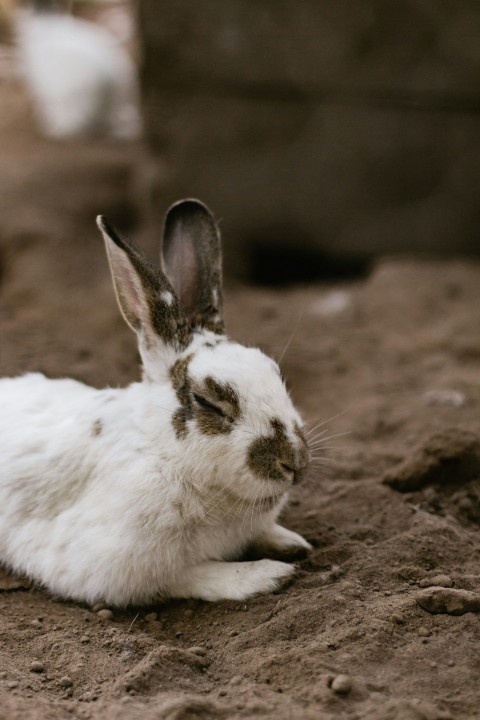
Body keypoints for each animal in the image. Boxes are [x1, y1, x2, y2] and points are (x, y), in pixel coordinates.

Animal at [0, 200, 311, 606]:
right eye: (208, 403)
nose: (295, 463)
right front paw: (267, 574)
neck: (163, 452)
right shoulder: (113, 567)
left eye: (275, 372)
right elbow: (192, 575)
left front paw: (293, 543)